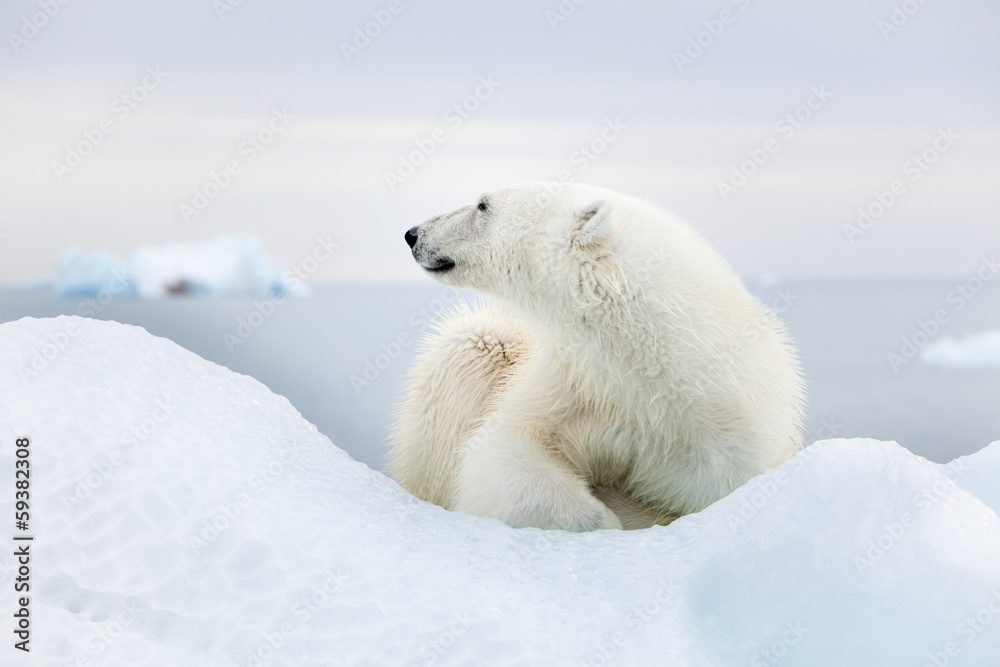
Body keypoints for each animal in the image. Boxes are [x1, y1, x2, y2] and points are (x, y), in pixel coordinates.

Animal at [388, 182, 805, 532]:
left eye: (482, 204)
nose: (412, 234)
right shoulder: (576, 385)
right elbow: (502, 453)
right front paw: (601, 516)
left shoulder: (731, 440)